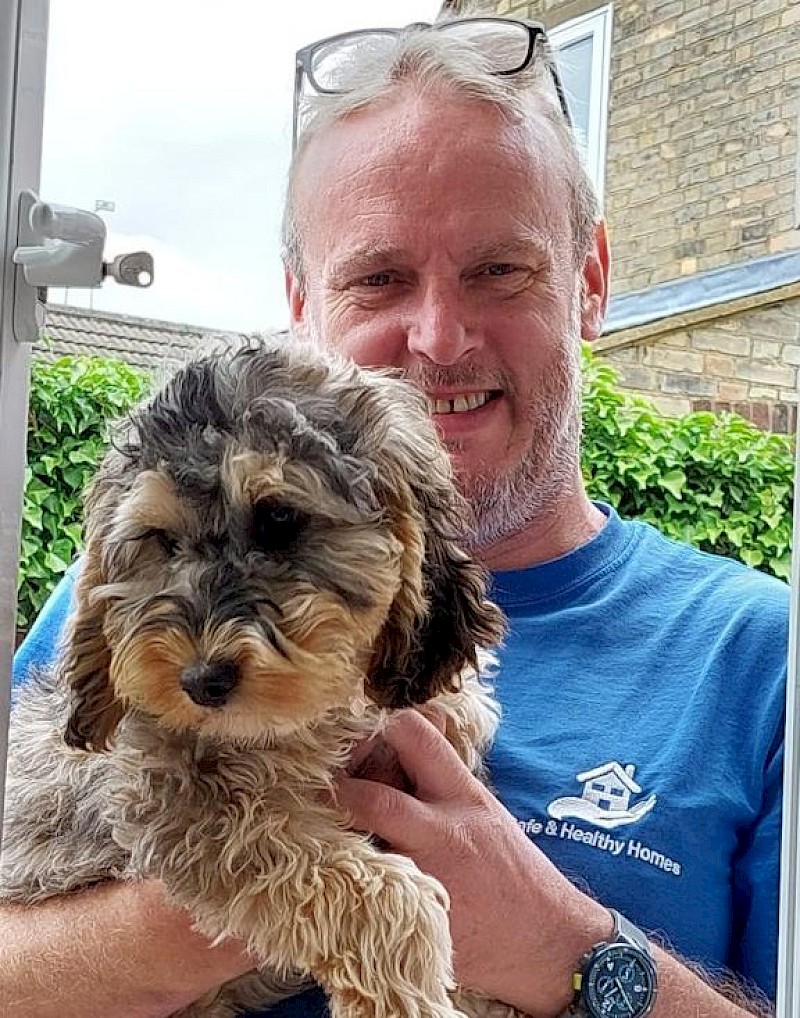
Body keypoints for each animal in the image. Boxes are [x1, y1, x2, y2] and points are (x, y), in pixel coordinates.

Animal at [1, 337, 510, 1013]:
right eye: (162, 541)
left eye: (279, 520)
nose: (199, 681)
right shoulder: (181, 807)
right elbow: (361, 887)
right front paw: (407, 995)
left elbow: (459, 709)